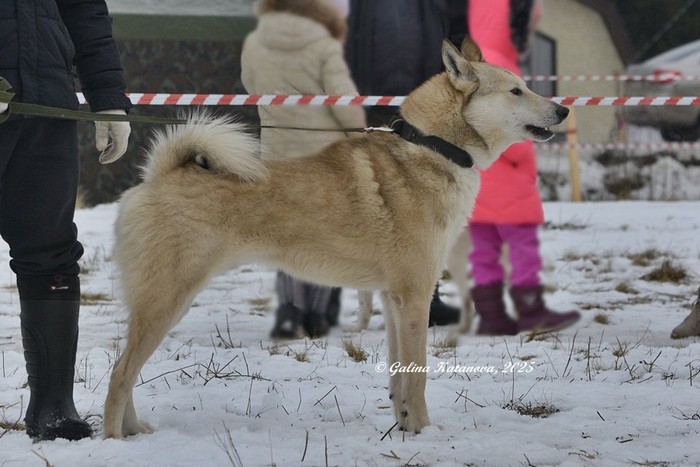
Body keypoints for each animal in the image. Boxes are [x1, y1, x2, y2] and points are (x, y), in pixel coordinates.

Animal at [103, 38, 568, 438]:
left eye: (527, 85)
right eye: (516, 91)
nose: (563, 110)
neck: (433, 147)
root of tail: (158, 176)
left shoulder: (393, 300)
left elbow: (399, 377)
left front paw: (403, 427)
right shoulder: (415, 296)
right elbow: (417, 376)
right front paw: (423, 432)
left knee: (125, 370)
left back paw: (134, 430)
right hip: (166, 300)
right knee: (120, 373)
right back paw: (114, 438)